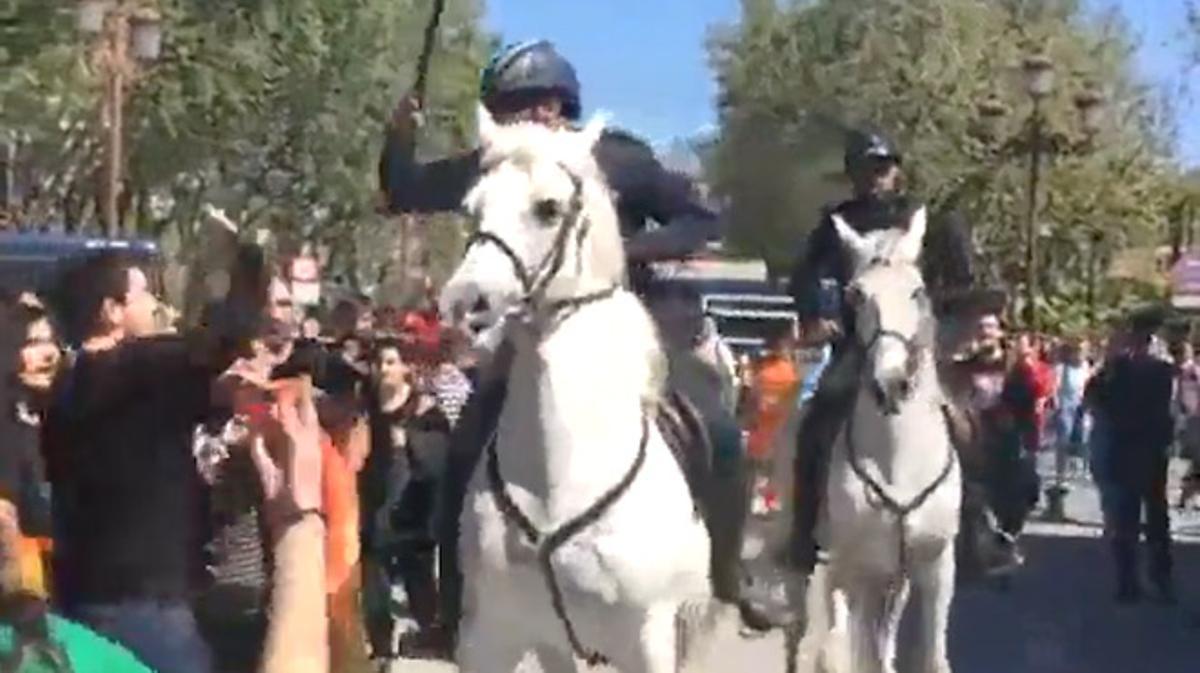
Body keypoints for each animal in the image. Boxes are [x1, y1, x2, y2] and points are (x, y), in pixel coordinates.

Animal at [441, 107, 720, 667]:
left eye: (548, 208)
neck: (560, 478)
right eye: (471, 207)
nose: (463, 304)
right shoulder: (491, 637)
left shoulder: (649, 642)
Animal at [768, 207, 964, 667]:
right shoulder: (857, 571)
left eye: (917, 291)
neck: (900, 462)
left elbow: (930, 657)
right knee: (806, 628)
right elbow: (852, 654)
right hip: (814, 561)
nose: (890, 384)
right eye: (856, 294)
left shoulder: (934, 567)